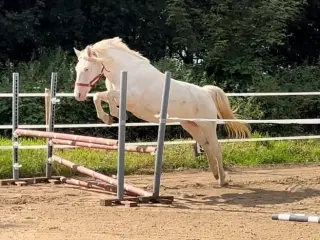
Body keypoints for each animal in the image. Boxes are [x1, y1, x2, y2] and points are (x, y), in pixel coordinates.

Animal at [72, 36, 250, 187]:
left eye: (86, 69)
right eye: (76, 68)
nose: (78, 95)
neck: (125, 70)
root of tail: (206, 93)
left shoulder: (130, 98)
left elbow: (103, 95)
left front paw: (111, 115)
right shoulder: (119, 96)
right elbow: (101, 97)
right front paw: (110, 116)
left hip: (207, 126)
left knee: (216, 148)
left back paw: (223, 180)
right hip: (190, 125)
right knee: (206, 146)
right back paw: (215, 174)